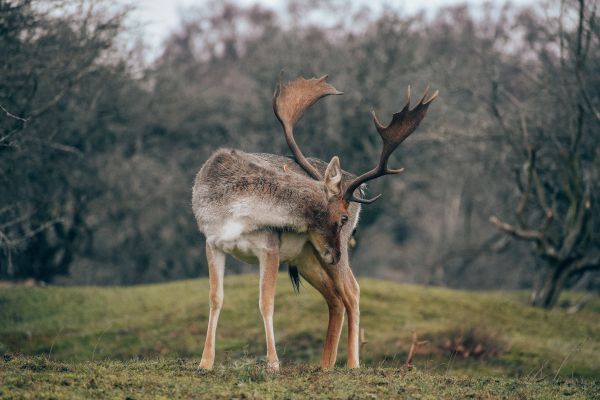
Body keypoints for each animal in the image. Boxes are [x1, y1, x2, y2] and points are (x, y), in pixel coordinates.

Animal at [192, 74, 436, 368]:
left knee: (352, 291)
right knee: (335, 297)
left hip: (319, 256)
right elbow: (215, 299)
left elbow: (266, 302)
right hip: (307, 256)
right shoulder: (212, 242)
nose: (336, 254)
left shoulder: (269, 247)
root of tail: (358, 188)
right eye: (341, 217)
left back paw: (352, 364)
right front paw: (205, 363)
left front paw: (273, 364)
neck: (233, 212)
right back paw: (325, 366)